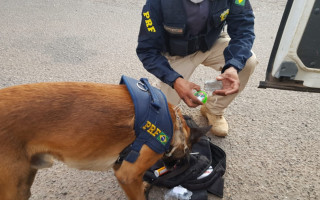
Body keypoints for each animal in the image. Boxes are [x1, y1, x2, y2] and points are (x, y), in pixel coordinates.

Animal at [0, 81, 209, 200]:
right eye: (186, 153)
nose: (175, 165)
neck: (174, 124)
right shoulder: (127, 175)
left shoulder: (122, 166)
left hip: (24, 183)